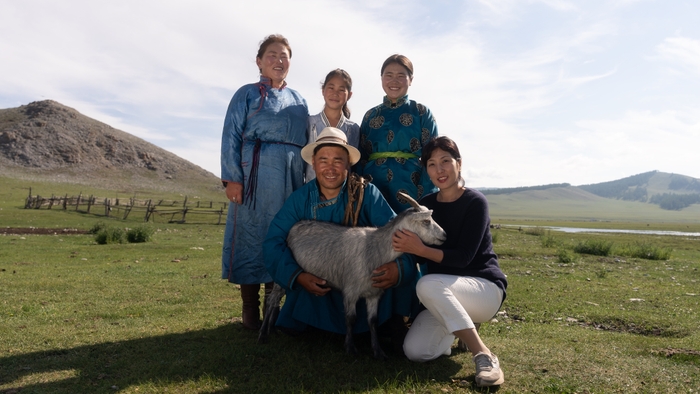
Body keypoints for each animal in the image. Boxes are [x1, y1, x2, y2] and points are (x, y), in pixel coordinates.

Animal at [260, 192, 446, 360]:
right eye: (426, 221)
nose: (444, 235)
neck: (375, 249)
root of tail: (295, 226)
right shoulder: (350, 291)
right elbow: (351, 318)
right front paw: (350, 347)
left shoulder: (374, 294)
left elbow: (373, 321)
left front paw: (378, 350)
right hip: (280, 275)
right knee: (271, 300)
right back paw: (263, 334)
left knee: (274, 301)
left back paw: (271, 330)